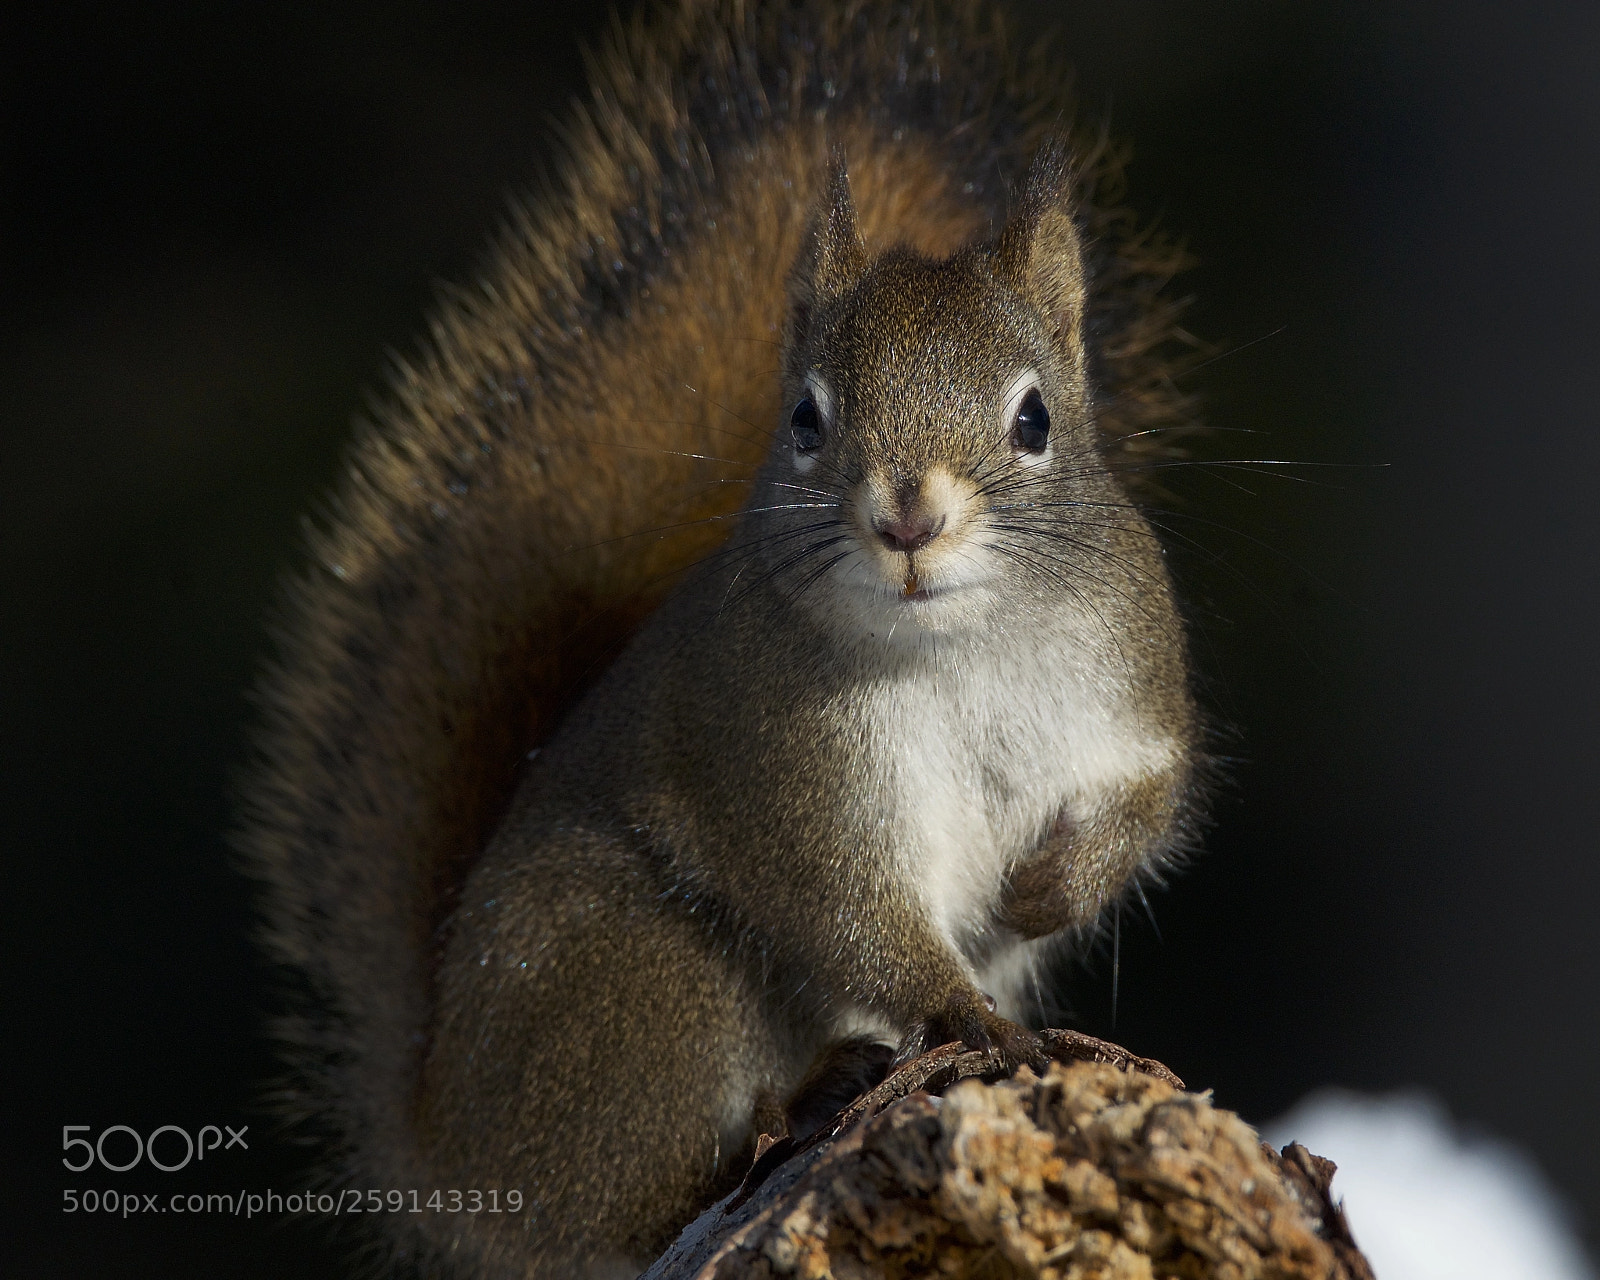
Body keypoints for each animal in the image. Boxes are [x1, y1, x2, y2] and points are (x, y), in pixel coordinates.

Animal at [241, 1, 1205, 1276]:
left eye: (1035, 417)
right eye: (803, 416)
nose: (907, 517)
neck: (956, 646)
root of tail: (441, 1149)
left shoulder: (1128, 689)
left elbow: (1144, 802)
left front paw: (1047, 893)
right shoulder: (786, 766)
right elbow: (851, 911)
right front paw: (969, 1017)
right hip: (647, 987)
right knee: (620, 1197)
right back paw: (805, 1092)